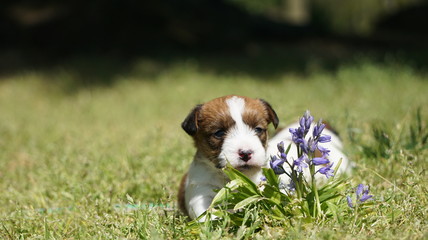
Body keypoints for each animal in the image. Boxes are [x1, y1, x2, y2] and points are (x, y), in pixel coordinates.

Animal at [177, 95, 348, 219]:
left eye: (258, 129)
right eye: (219, 133)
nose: (246, 152)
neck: (236, 177)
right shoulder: (201, 189)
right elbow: (205, 211)